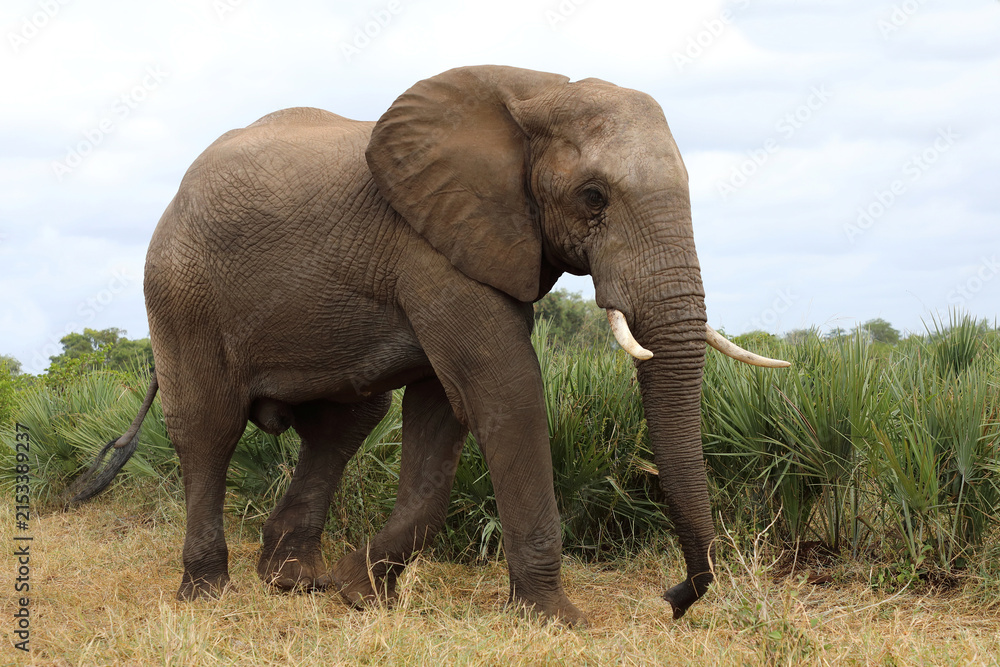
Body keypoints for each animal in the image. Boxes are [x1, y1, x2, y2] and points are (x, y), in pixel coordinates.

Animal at [71, 65, 788, 625]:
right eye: (593, 196)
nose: (674, 597)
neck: (538, 91)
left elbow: (441, 412)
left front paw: (359, 594)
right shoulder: (432, 249)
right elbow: (503, 391)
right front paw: (557, 618)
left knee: (344, 424)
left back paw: (296, 581)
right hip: (181, 292)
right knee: (209, 429)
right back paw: (208, 593)